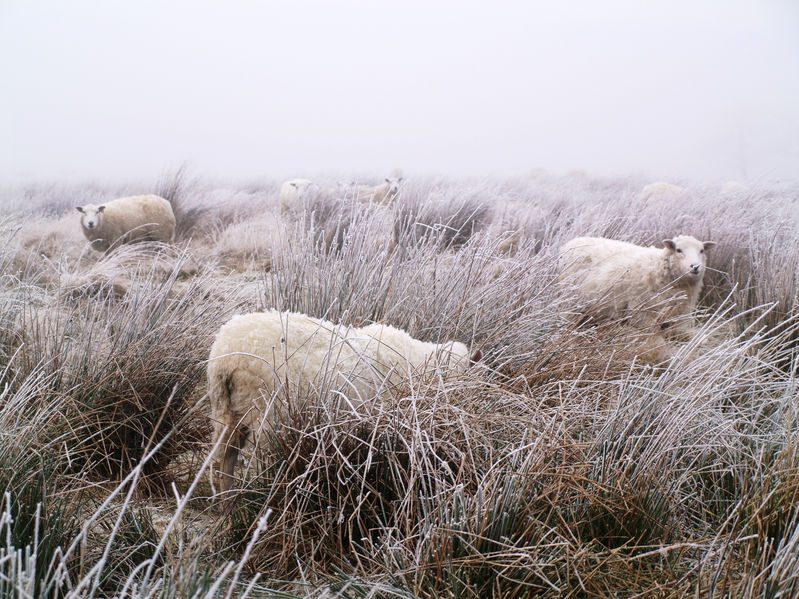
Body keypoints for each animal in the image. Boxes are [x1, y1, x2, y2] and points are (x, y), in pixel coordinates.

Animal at [209, 310, 478, 492]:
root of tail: (225, 357)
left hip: (227, 413)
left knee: (223, 462)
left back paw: (228, 510)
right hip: (269, 417)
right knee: (255, 466)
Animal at [556, 234, 720, 356]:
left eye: (702, 251)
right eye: (679, 250)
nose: (695, 267)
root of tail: (572, 241)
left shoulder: (675, 319)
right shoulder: (642, 315)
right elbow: (656, 341)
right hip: (570, 302)